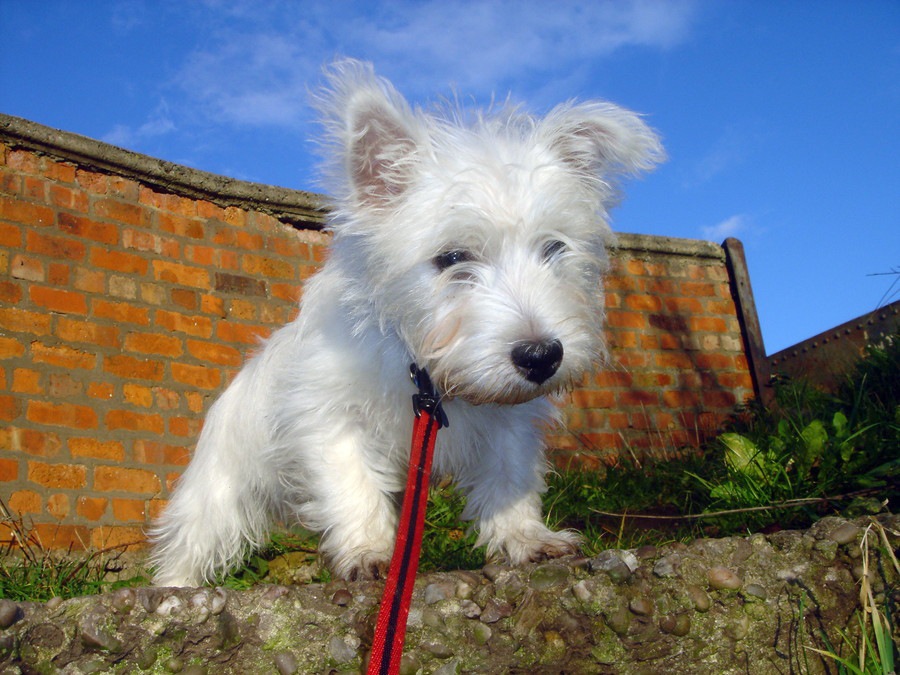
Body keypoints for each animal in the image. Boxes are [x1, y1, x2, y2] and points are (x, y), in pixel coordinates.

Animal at [149, 59, 660, 588]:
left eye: (555, 248)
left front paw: (526, 538)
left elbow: (509, 477)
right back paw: (174, 589)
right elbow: (353, 487)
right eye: (452, 259)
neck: (428, 374)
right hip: (218, 495)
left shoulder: (509, 422)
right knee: (190, 545)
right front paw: (368, 552)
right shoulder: (329, 418)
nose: (541, 356)